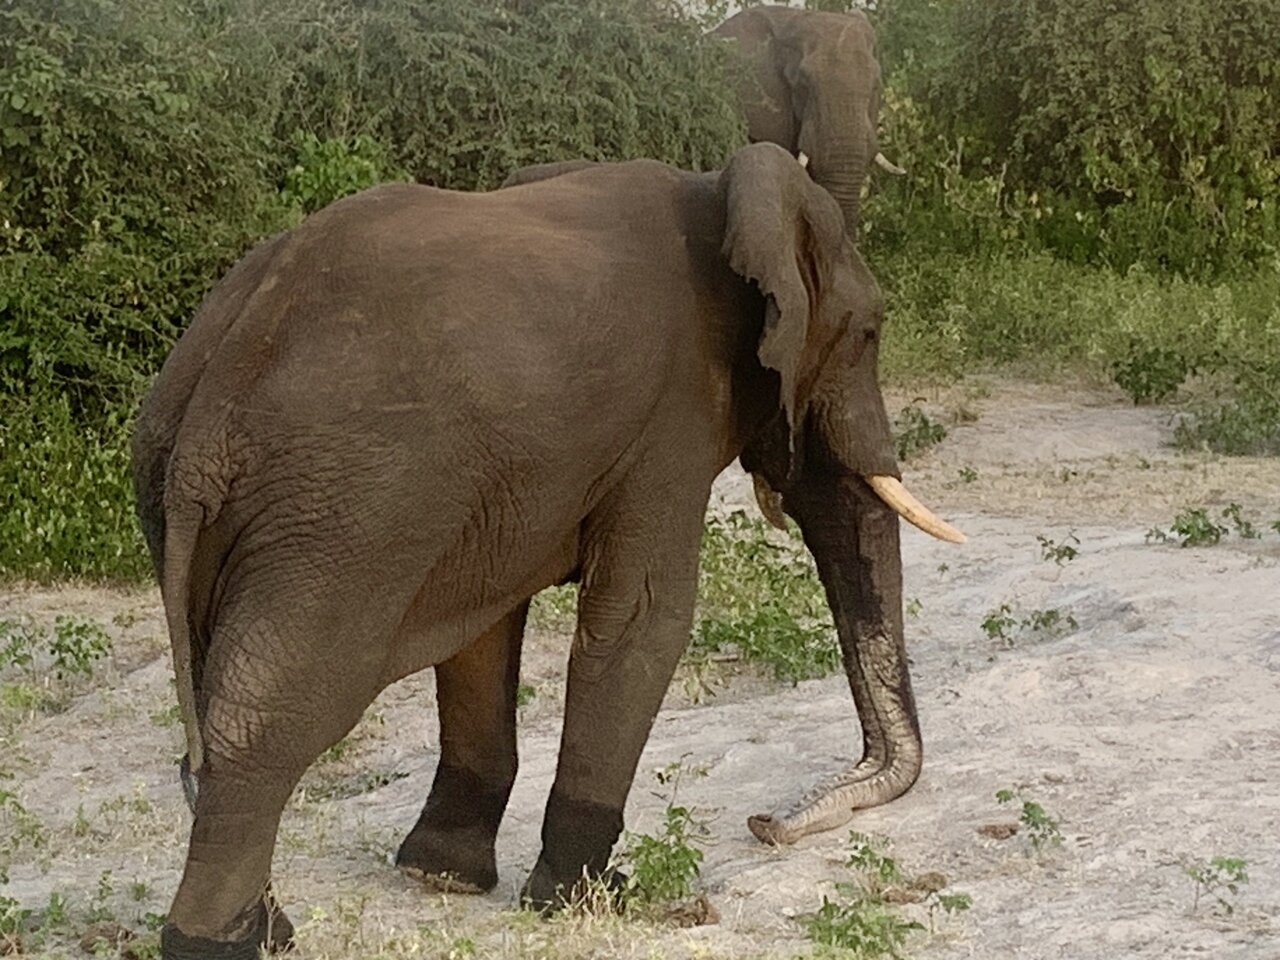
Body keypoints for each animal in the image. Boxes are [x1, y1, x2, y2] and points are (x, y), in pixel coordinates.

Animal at [132, 141, 963, 959]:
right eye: (868, 334)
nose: (766, 824)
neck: (720, 187)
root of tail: (218, 385)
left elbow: (482, 632)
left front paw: (445, 876)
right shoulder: (673, 414)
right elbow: (643, 617)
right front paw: (587, 899)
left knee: (217, 707)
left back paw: (272, 929)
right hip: (339, 513)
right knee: (265, 721)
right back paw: (223, 941)